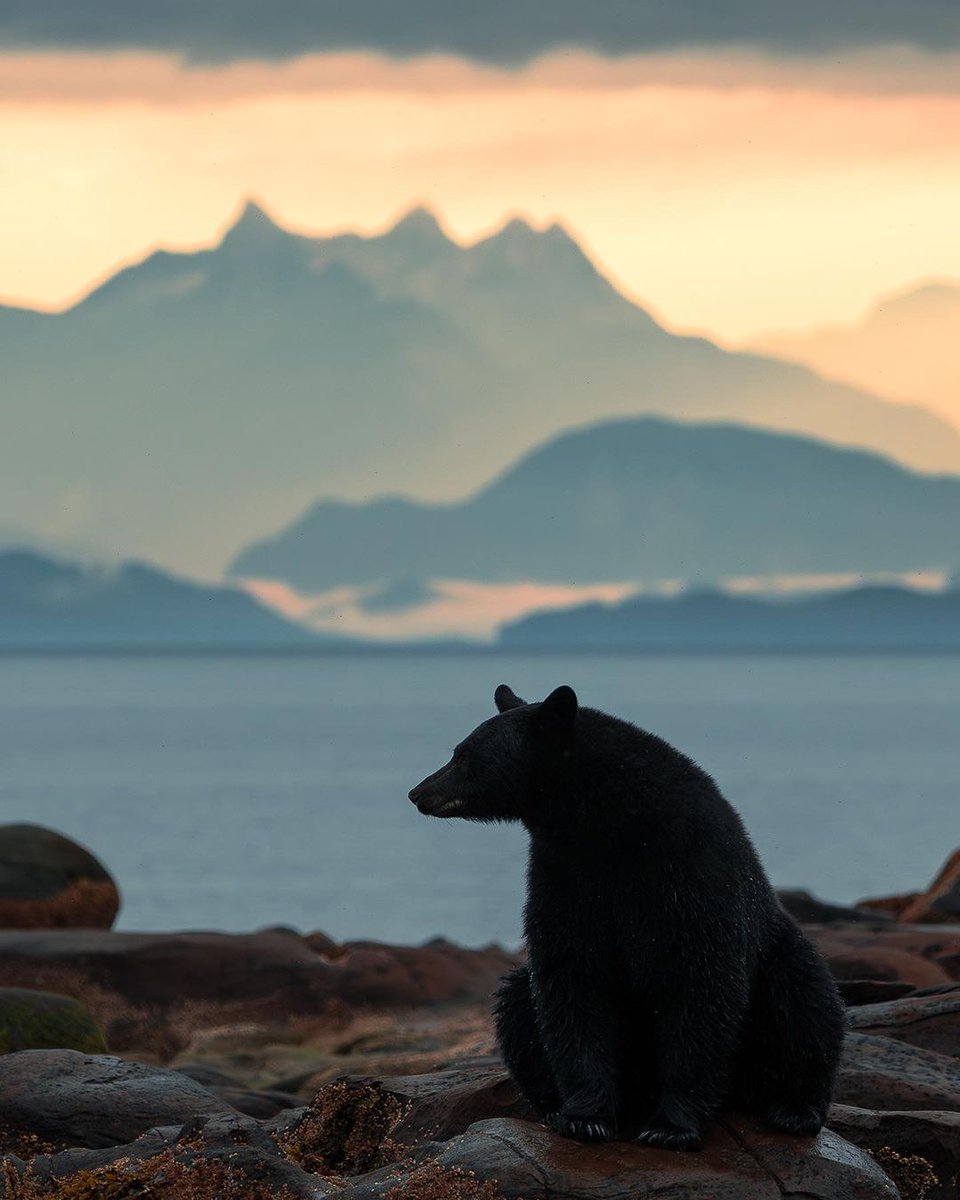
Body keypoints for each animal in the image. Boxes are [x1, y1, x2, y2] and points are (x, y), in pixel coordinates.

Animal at [408, 681, 844, 1147]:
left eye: (465, 755)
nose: (417, 792)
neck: (606, 827)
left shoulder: (691, 873)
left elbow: (700, 985)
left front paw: (671, 1127)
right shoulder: (566, 878)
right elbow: (572, 982)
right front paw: (584, 1116)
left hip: (781, 956)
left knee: (805, 1005)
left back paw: (794, 1110)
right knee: (516, 1003)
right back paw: (550, 1105)